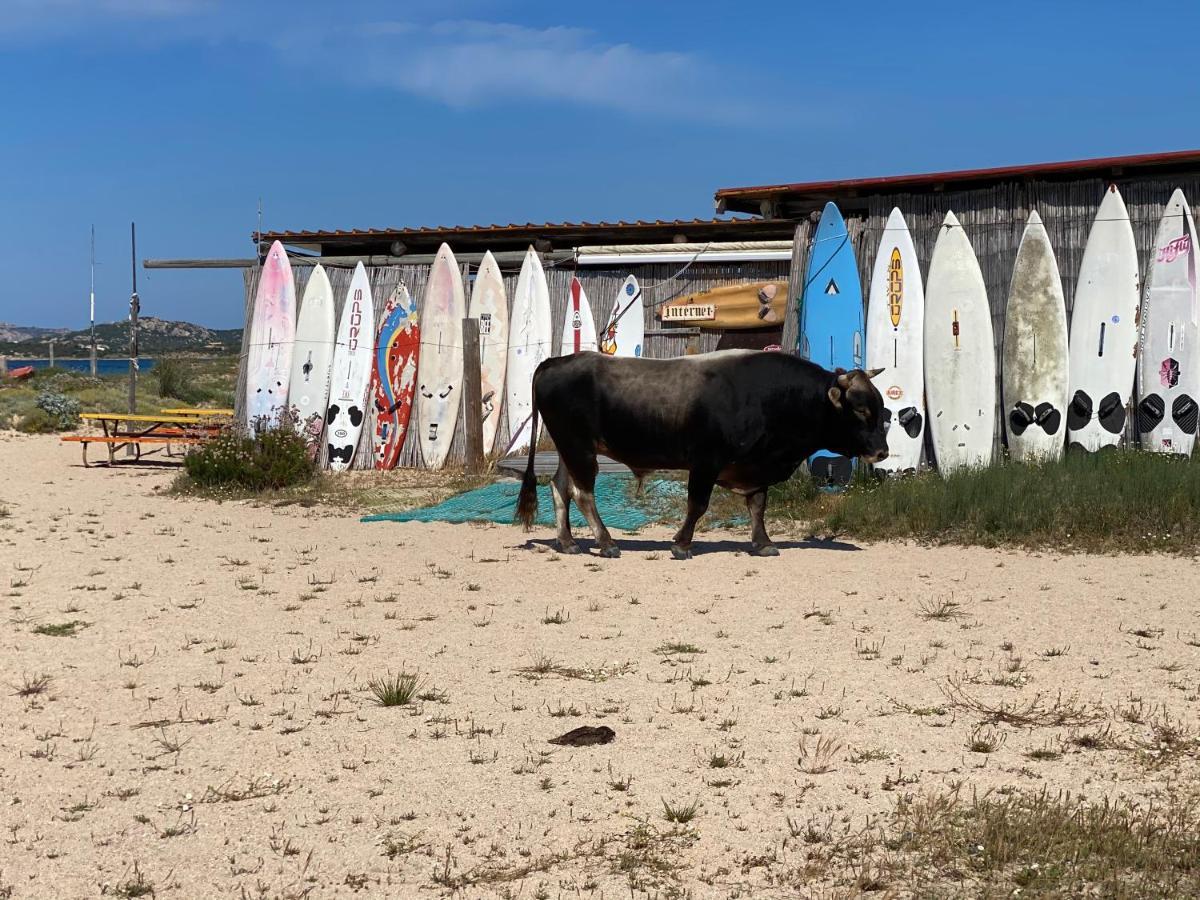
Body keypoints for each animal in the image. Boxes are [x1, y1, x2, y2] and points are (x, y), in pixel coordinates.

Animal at [516, 350, 892, 556]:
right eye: (861, 410)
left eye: (881, 408)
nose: (883, 452)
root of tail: (556, 362)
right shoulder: (706, 462)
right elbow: (697, 505)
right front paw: (681, 543)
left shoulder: (755, 466)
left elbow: (758, 506)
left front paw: (763, 542)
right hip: (580, 448)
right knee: (583, 493)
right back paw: (606, 543)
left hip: (569, 449)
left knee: (560, 487)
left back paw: (567, 541)